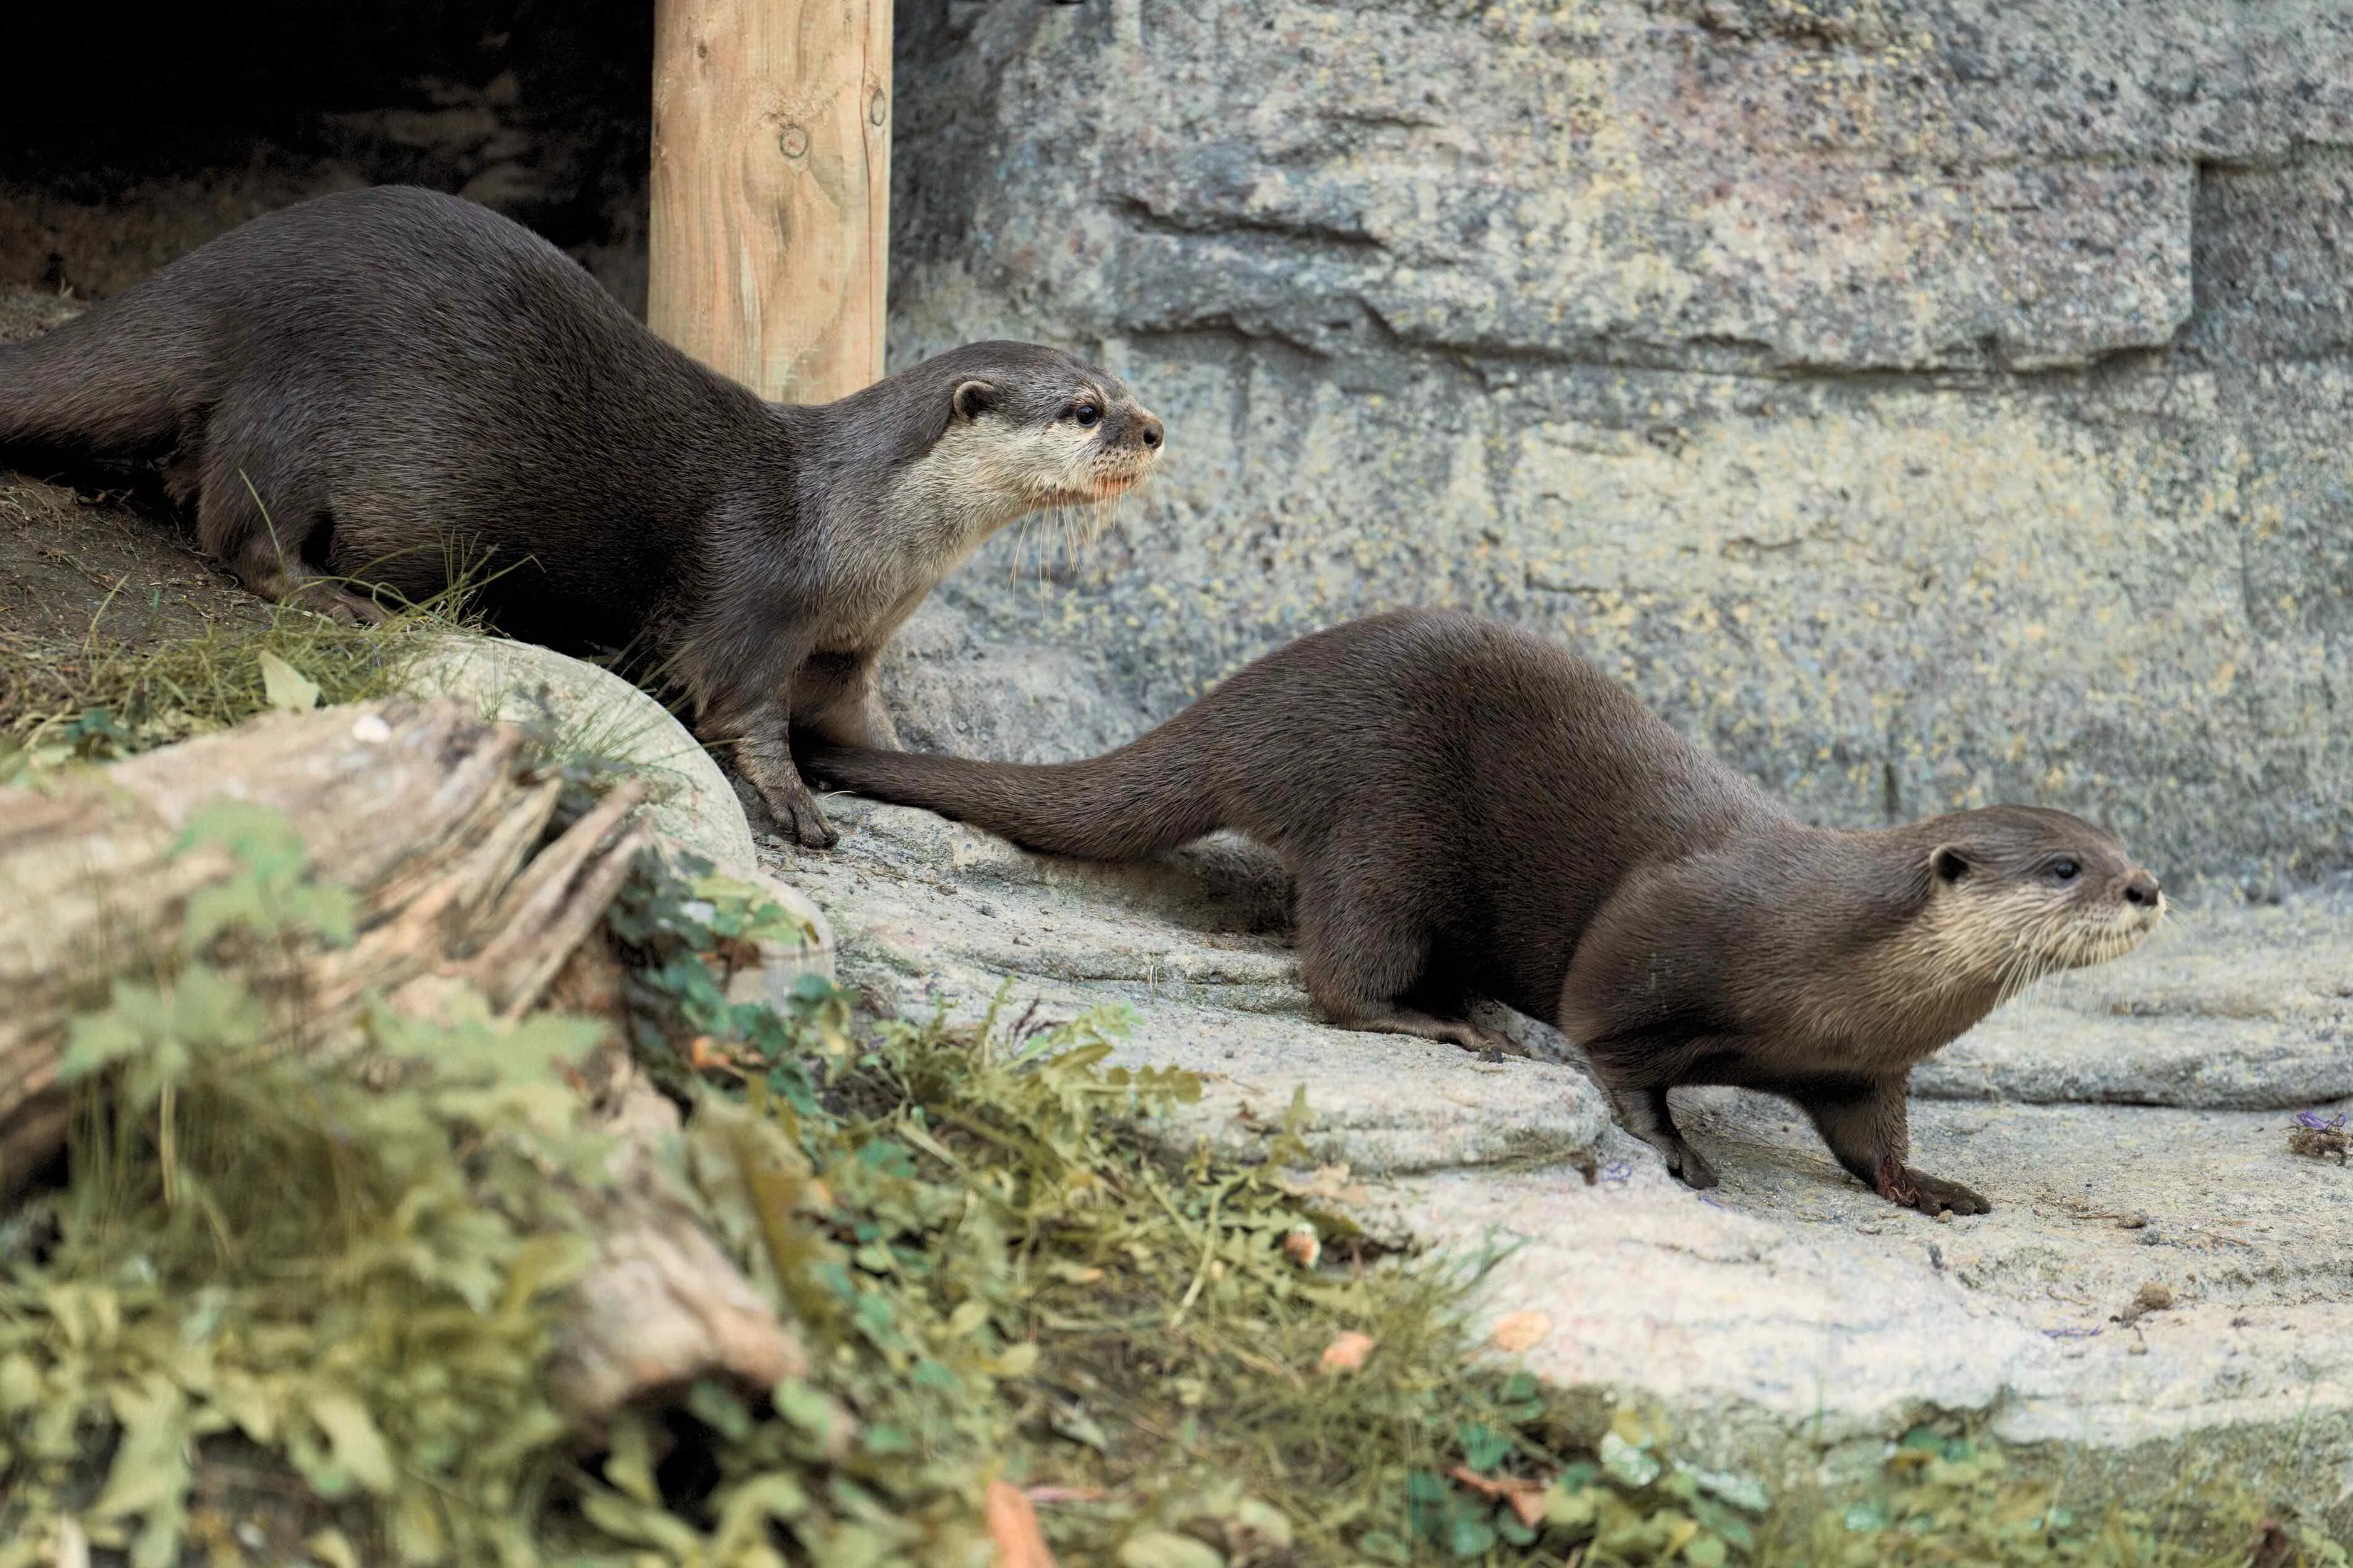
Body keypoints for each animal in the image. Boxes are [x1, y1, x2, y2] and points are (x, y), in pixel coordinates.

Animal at [0, 185, 1163, 846]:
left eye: (1120, 387)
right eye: (1085, 409)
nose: (1154, 430)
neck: (855, 527)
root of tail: (213, 277)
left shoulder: (849, 650)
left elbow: (858, 724)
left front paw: (918, 772)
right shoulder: (757, 599)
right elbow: (738, 705)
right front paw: (792, 799)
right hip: (295, 399)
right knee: (238, 527)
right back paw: (338, 598)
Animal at [799, 609, 2165, 1215]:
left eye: (2117, 845)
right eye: (2064, 868)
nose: (2148, 885)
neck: (1829, 959)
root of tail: (1253, 700)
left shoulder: (1860, 1063)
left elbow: (1868, 1137)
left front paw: (1926, 1183)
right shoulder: (1659, 942)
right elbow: (1615, 1046)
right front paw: (1675, 1151)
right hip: (1382, 824)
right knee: (1338, 970)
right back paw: (1443, 1024)